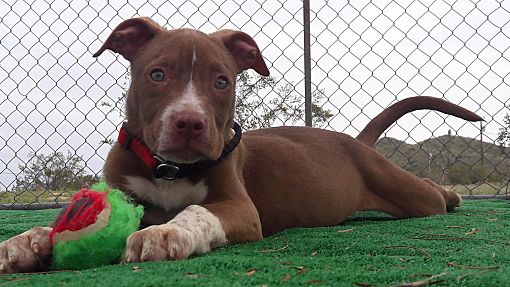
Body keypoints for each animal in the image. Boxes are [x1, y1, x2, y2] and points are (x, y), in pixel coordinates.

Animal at [0, 18, 482, 274]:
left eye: (221, 81)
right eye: (157, 75)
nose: (190, 123)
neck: (168, 167)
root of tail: (350, 140)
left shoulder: (240, 208)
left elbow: (197, 211)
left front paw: (165, 232)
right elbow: (58, 223)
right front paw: (26, 241)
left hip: (405, 192)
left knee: (430, 192)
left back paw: (454, 196)